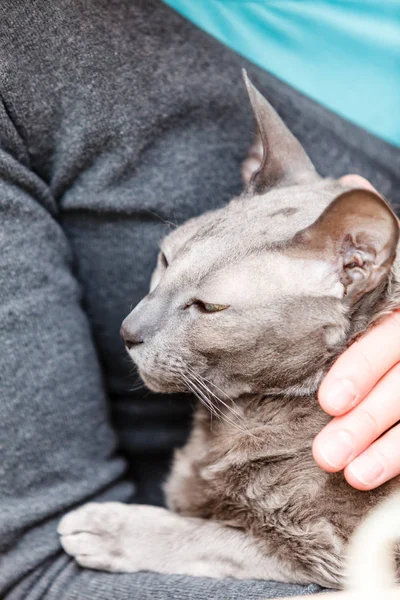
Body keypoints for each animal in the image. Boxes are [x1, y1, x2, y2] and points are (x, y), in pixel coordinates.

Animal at [58, 72, 400, 588]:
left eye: (209, 307)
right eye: (165, 259)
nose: (128, 330)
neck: (233, 419)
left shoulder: (329, 553)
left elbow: (203, 536)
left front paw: (107, 527)